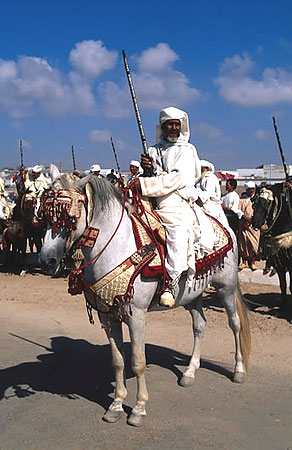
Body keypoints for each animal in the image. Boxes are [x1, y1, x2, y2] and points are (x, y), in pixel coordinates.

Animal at [39, 167, 251, 428]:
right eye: (44, 215)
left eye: (67, 217)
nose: (46, 260)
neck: (117, 247)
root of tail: (226, 227)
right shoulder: (108, 314)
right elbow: (117, 361)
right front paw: (116, 405)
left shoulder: (136, 315)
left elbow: (138, 362)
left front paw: (139, 409)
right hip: (192, 296)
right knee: (200, 325)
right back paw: (189, 373)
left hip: (226, 288)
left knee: (235, 324)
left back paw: (238, 371)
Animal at [251, 183, 292, 316]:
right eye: (254, 201)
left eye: (267, 202)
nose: (255, 222)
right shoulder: (279, 263)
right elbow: (283, 285)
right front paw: (283, 307)